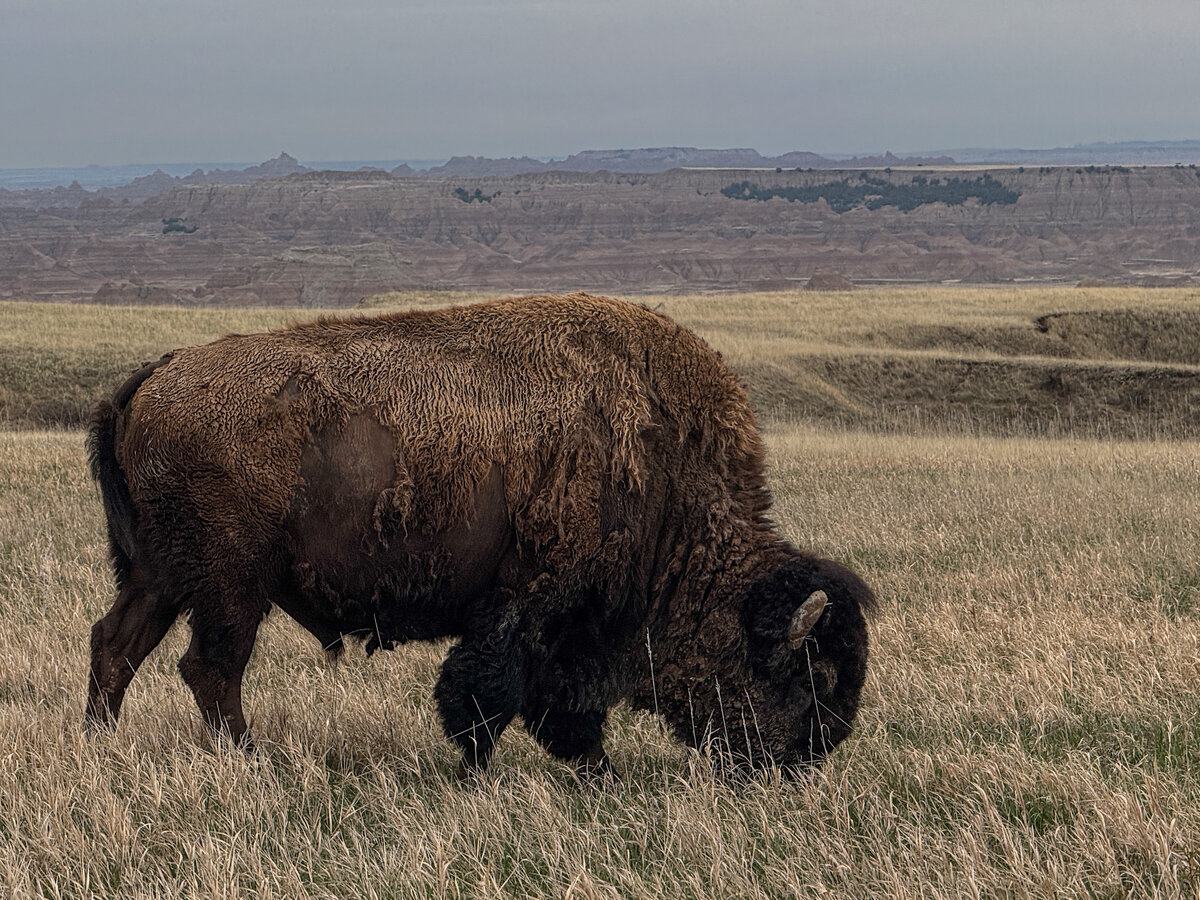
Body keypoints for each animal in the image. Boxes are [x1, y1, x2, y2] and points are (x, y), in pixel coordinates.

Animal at [86, 293, 875, 776]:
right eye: (809, 676)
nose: (796, 763)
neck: (663, 463)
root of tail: (156, 375)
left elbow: (546, 706)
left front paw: (594, 772)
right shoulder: (531, 608)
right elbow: (492, 698)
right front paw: (484, 774)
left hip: (160, 576)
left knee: (116, 644)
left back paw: (100, 743)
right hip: (230, 584)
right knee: (211, 667)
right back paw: (250, 760)